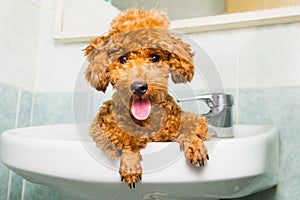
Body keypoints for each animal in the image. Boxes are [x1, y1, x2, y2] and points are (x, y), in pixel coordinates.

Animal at [84, 9, 209, 188]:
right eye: (123, 59)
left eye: (155, 58)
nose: (138, 87)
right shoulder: (104, 127)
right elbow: (125, 139)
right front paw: (130, 164)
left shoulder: (176, 123)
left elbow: (192, 126)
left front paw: (194, 144)